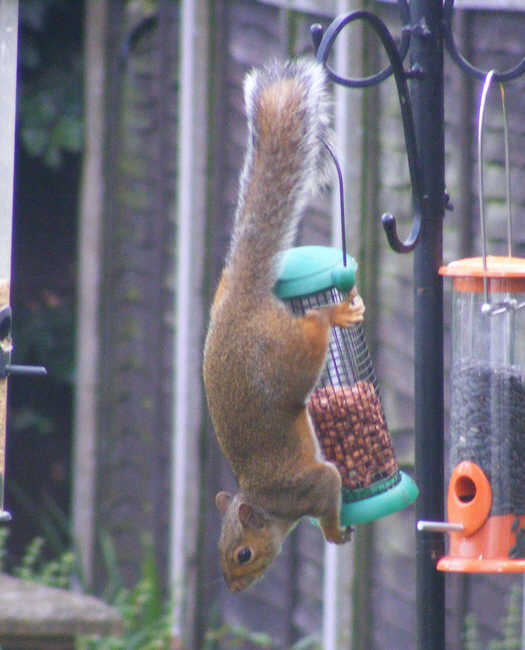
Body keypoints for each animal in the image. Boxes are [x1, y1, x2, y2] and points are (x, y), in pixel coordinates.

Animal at [202, 58, 364, 588]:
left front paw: (333, 533)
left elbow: (330, 494)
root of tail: (241, 298)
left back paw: (336, 311)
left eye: (243, 554)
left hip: (288, 357)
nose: (234, 589)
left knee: (315, 326)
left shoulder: (315, 484)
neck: (272, 507)